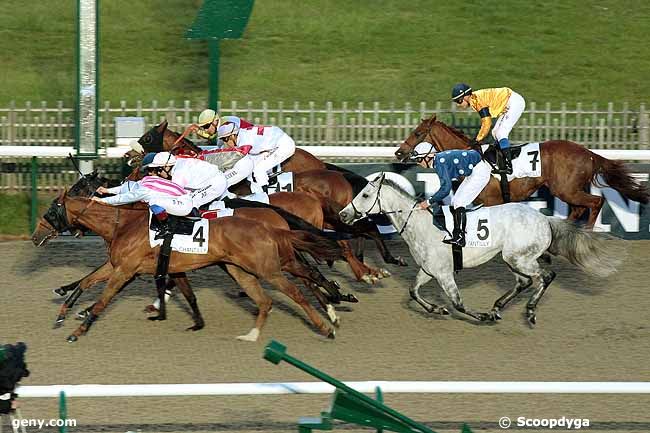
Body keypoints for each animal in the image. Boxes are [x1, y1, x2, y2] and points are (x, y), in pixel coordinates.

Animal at [34, 194, 344, 342]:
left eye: (50, 211)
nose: (36, 236)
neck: (124, 224)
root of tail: (271, 225)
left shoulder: (125, 270)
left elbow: (102, 300)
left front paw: (79, 329)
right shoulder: (119, 265)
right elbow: (86, 282)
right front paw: (63, 312)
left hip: (269, 268)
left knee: (300, 290)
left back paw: (328, 321)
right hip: (244, 270)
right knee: (275, 294)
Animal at [336, 172, 620, 324]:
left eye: (364, 195)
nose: (342, 214)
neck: (420, 224)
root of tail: (545, 219)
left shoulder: (444, 273)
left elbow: (458, 303)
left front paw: (480, 316)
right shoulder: (429, 271)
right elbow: (412, 292)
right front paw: (436, 308)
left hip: (520, 258)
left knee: (545, 276)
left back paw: (528, 310)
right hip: (511, 258)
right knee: (525, 281)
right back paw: (498, 307)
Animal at [392, 115, 644, 228]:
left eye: (417, 133)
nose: (398, 152)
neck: (469, 158)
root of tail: (590, 154)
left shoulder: (492, 202)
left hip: (567, 189)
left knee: (594, 203)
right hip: (567, 190)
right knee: (578, 209)